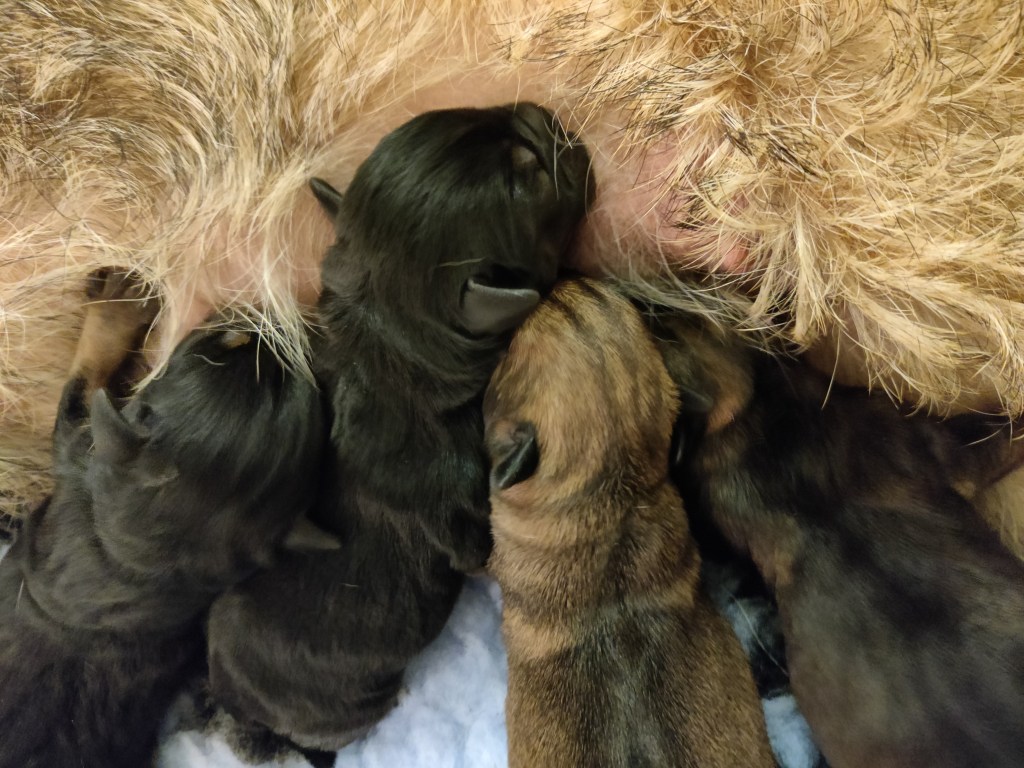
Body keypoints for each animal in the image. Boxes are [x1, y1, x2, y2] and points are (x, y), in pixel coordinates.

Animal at [0, 270, 331, 768]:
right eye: (232, 341)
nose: (276, 319)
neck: (140, 562)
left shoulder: (76, 448)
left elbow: (84, 375)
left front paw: (118, 301)